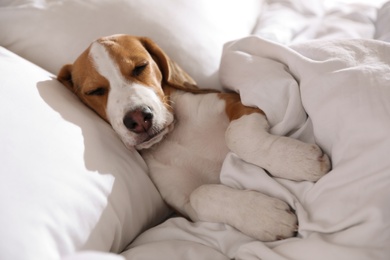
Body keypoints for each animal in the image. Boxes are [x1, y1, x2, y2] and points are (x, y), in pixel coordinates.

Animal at [58, 34, 330, 242]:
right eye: (95, 91)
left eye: (140, 67)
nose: (138, 118)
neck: (175, 137)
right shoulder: (184, 205)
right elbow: (202, 194)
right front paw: (266, 217)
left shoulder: (240, 104)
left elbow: (236, 136)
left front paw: (300, 162)